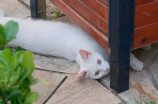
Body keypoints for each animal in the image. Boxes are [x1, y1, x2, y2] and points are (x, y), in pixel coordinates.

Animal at [0, 10, 143, 80]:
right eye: (97, 73)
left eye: (98, 61)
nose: (107, 69)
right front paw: (136, 63)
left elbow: (129, 54)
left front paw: (136, 63)